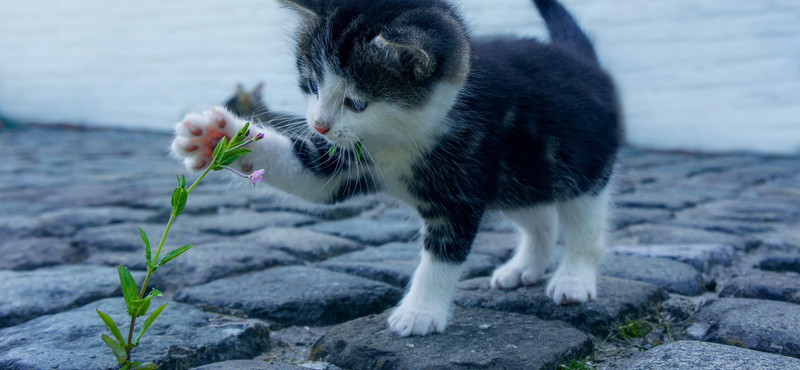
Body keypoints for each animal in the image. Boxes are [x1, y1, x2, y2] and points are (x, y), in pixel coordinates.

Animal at [173, 0, 624, 336]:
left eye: (357, 102)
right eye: (312, 84)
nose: (318, 124)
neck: (399, 137)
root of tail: (582, 61)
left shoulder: (461, 185)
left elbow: (443, 254)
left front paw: (420, 313)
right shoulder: (346, 159)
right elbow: (311, 177)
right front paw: (216, 137)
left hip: (582, 166)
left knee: (584, 225)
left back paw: (573, 279)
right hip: (520, 176)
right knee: (540, 218)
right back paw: (525, 267)